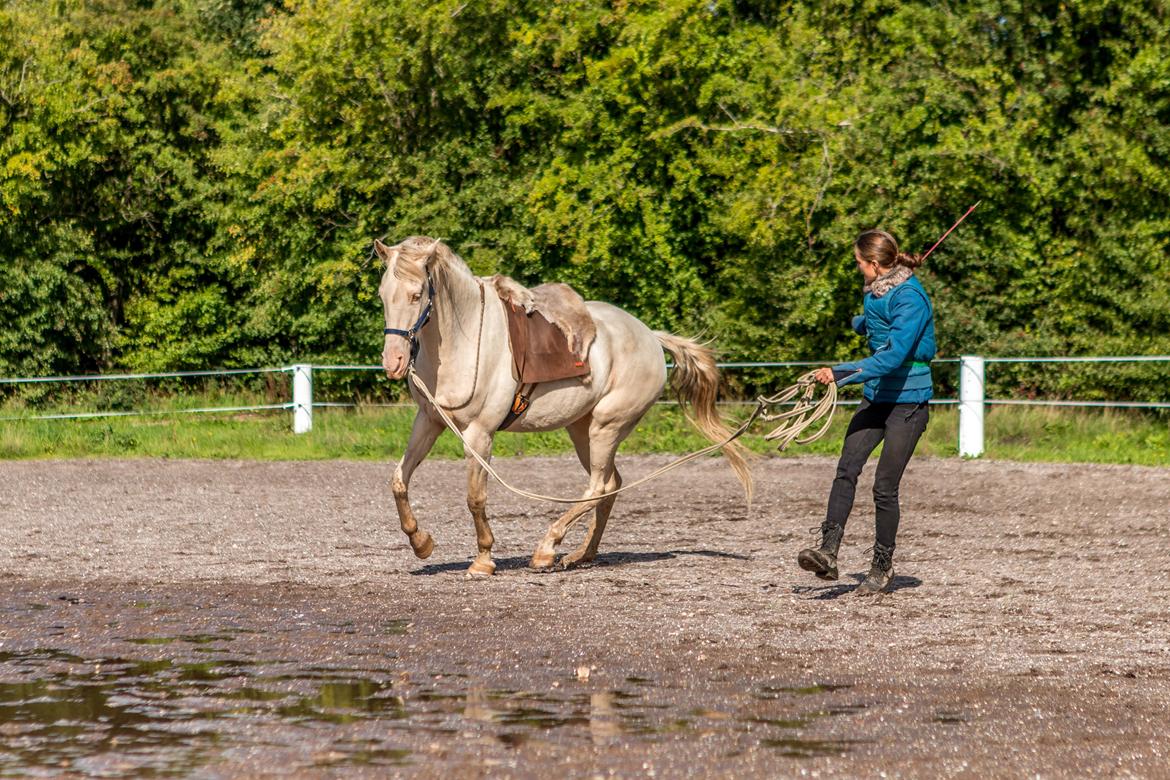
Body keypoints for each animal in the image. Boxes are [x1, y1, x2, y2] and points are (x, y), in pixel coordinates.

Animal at [379, 235, 753, 577]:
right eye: (383, 294)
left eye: (417, 295)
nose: (393, 362)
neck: (467, 337)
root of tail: (650, 336)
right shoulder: (429, 421)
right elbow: (399, 480)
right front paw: (421, 542)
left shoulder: (480, 434)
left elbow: (475, 497)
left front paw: (483, 560)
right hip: (582, 431)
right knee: (610, 485)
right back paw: (581, 555)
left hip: (606, 427)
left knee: (599, 487)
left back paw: (547, 549)